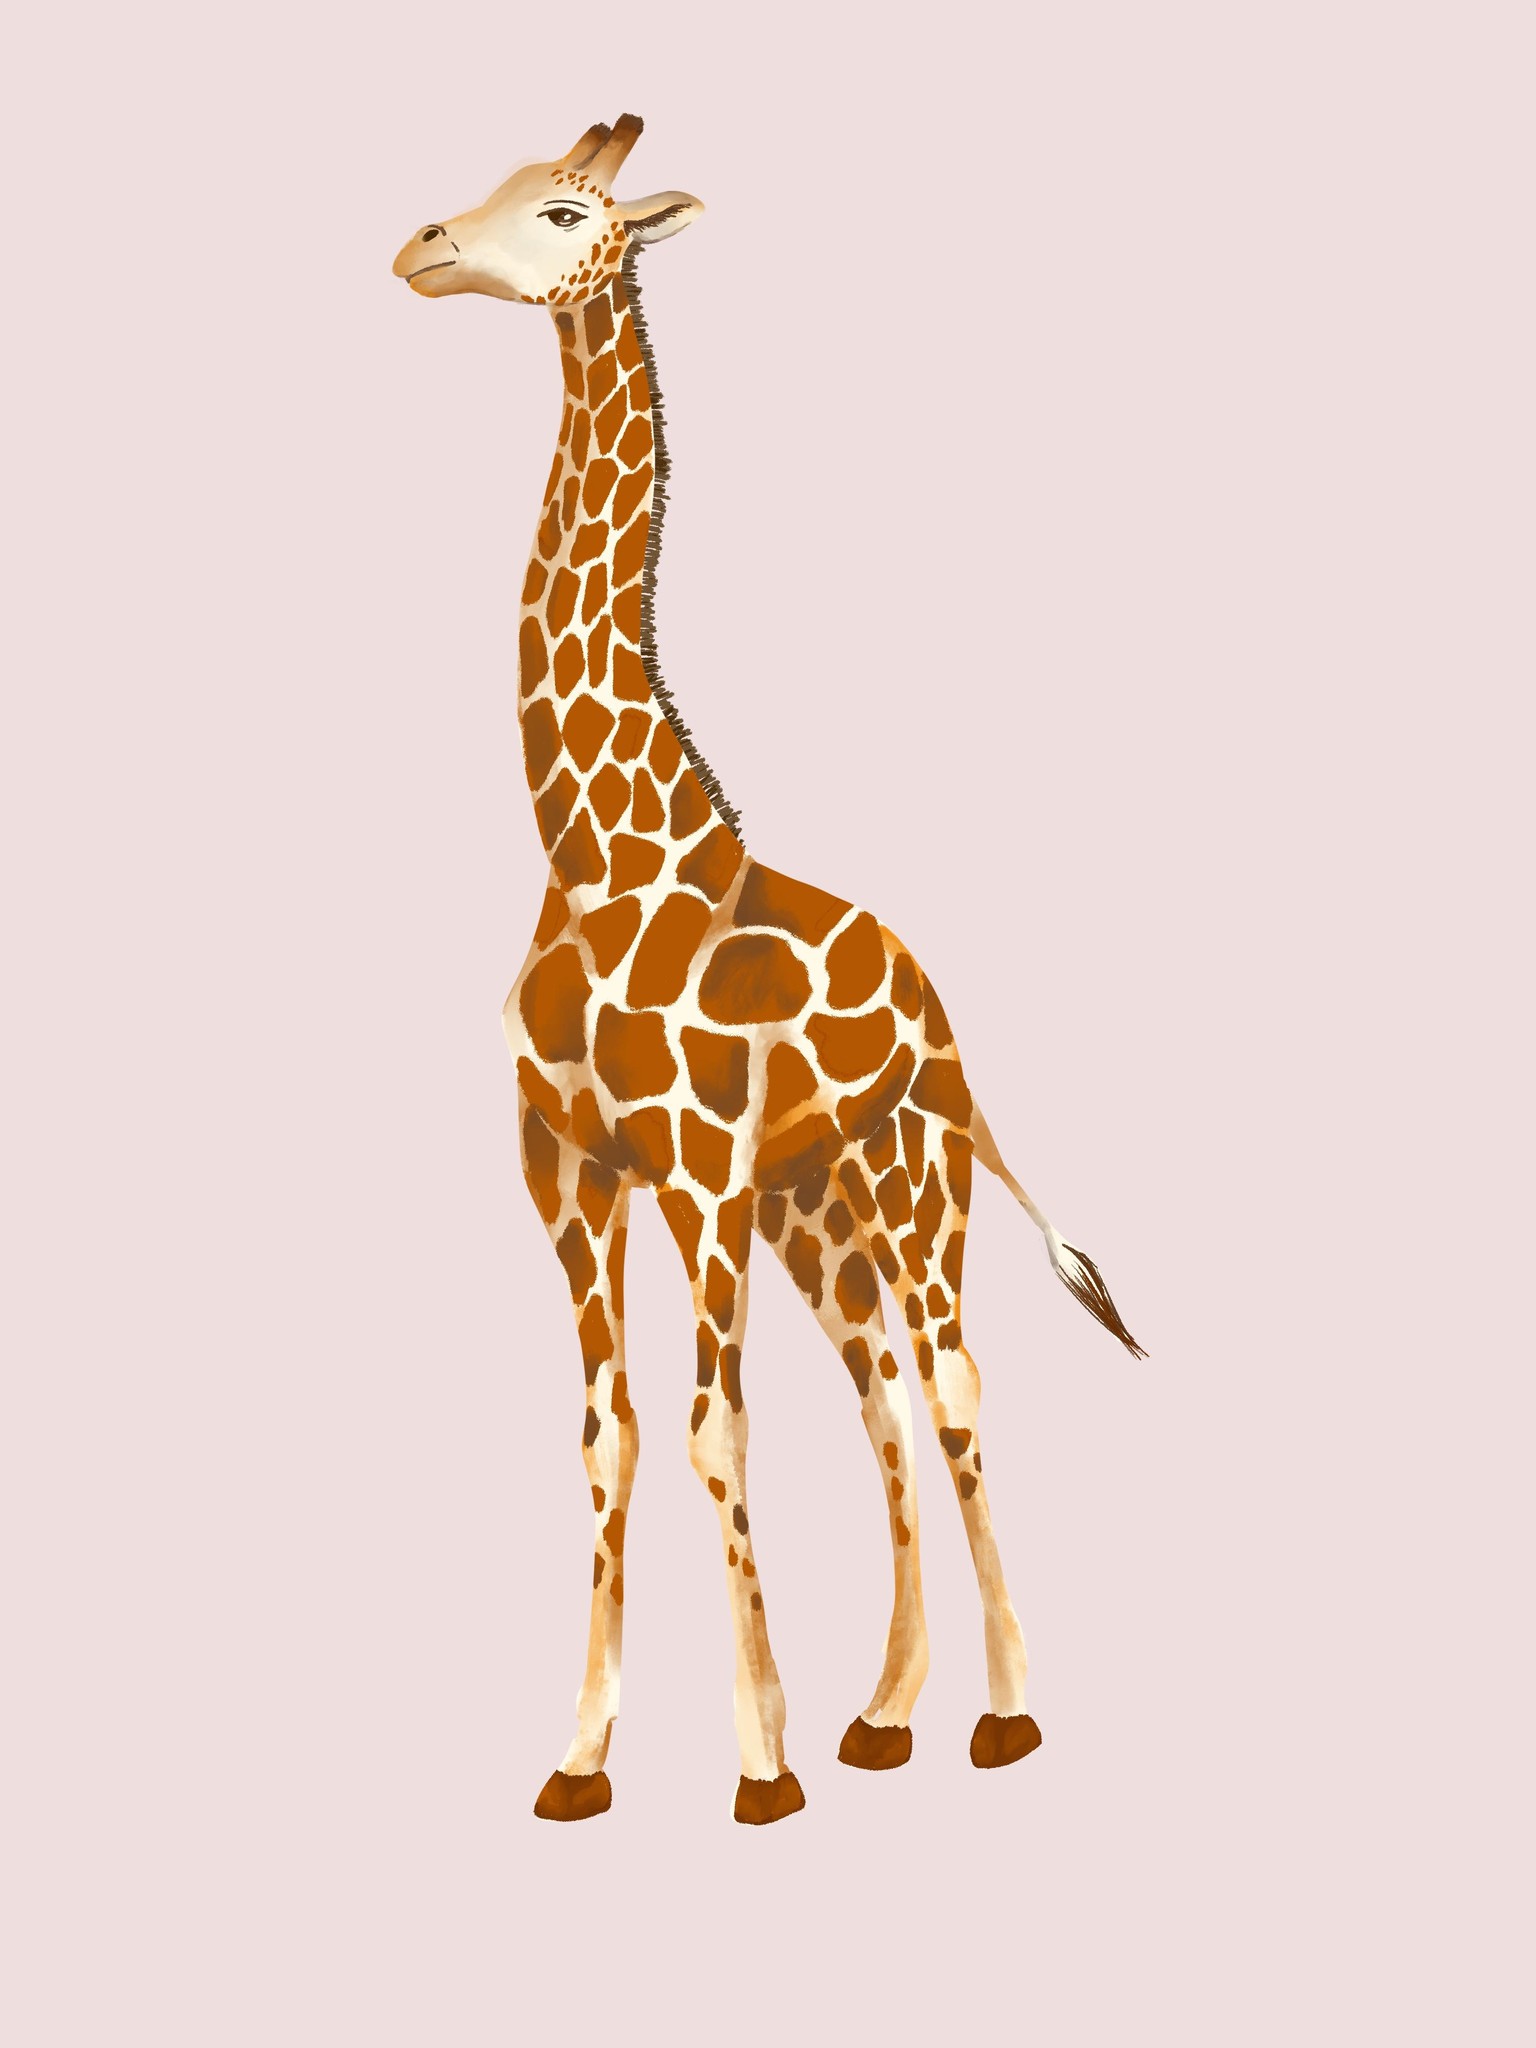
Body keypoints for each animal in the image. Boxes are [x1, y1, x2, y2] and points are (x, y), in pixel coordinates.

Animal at [393, 115, 1143, 1827]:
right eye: (497, 185)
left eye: (565, 211)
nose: (421, 252)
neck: (597, 849)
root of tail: (942, 1007)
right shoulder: (570, 1168)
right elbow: (609, 1441)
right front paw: (584, 1762)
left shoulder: (697, 1168)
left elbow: (713, 1434)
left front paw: (756, 1767)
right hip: (823, 1212)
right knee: (876, 1393)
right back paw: (884, 1718)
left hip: (911, 1184)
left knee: (952, 1381)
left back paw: (1003, 1716)